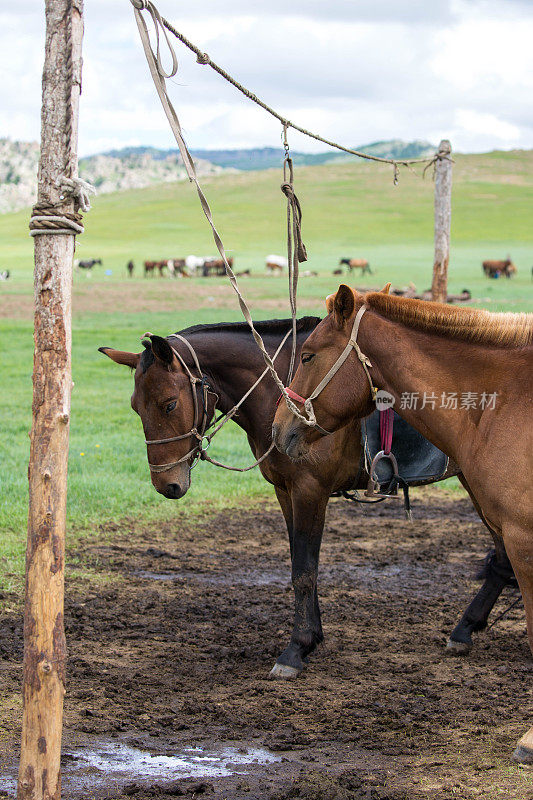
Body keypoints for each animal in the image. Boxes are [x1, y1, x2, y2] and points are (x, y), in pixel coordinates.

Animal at [98, 316, 512, 680]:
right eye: (136, 407)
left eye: (169, 403)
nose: (166, 484)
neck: (281, 389)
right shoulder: (285, 492)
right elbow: (300, 561)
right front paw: (312, 636)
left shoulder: (310, 492)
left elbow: (304, 570)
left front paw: (296, 649)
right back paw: (467, 627)